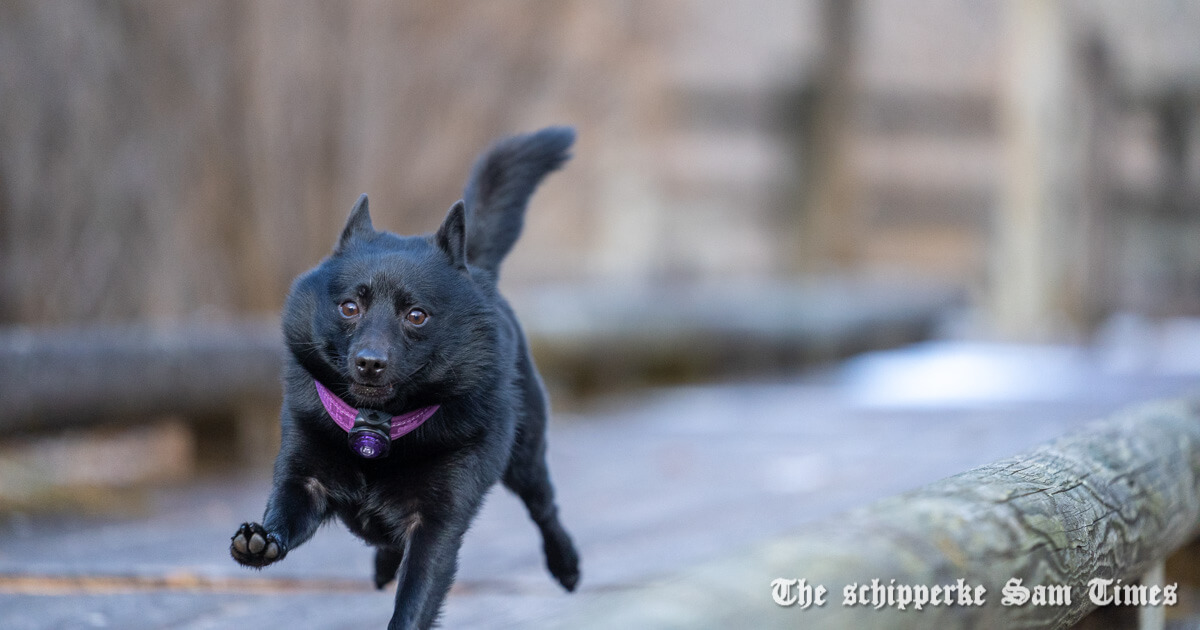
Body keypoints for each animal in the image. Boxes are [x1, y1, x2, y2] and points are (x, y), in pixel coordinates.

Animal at [232, 125, 580, 624]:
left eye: (416, 315)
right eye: (349, 307)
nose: (369, 362)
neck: (376, 429)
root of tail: (475, 267)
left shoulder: (435, 525)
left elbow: (415, 600)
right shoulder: (305, 479)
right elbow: (284, 511)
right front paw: (261, 541)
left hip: (525, 456)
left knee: (545, 508)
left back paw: (566, 563)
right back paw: (381, 563)